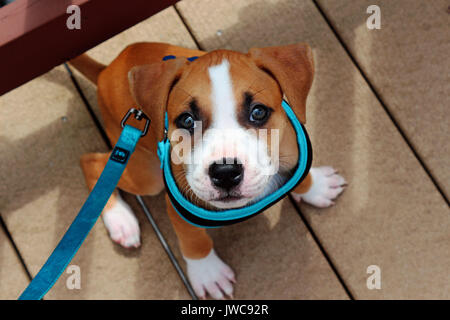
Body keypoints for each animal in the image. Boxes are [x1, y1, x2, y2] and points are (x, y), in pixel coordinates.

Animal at [70, 41, 346, 298]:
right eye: (187, 120)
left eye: (258, 112)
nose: (225, 172)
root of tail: (106, 71)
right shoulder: (177, 210)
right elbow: (194, 241)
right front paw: (207, 273)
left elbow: (302, 176)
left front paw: (316, 187)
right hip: (146, 177)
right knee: (92, 162)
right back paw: (120, 220)